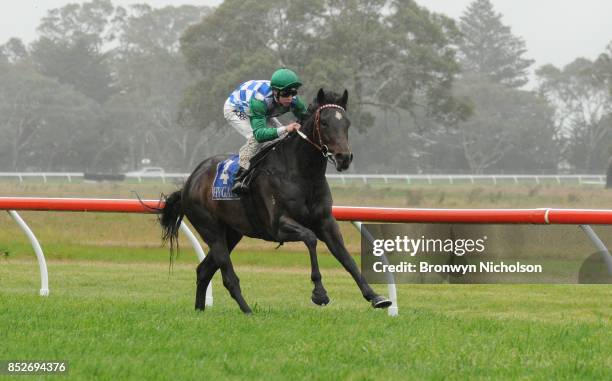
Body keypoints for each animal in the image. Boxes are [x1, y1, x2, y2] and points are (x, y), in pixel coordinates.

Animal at [160, 88, 390, 312]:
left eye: (346, 123)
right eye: (324, 122)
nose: (344, 158)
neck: (302, 174)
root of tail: (190, 181)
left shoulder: (326, 222)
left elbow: (346, 257)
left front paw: (375, 297)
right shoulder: (277, 226)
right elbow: (310, 239)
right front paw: (319, 293)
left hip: (232, 233)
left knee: (204, 270)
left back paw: (200, 310)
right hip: (211, 229)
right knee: (227, 274)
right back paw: (248, 311)